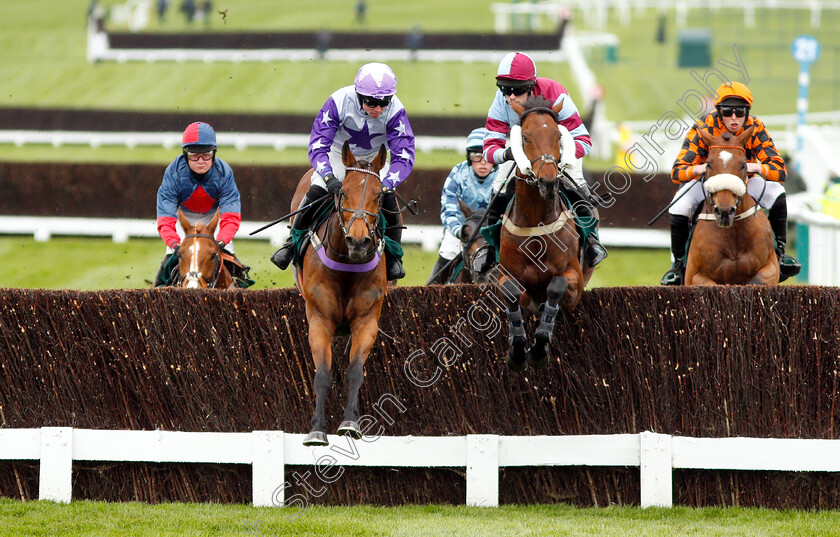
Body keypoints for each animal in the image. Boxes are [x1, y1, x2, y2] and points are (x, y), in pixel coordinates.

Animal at [290, 140, 388, 446]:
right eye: (343, 191)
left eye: (379, 196)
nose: (358, 241)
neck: (348, 266)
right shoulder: (320, 319)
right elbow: (322, 374)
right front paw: (316, 429)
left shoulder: (366, 321)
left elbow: (355, 371)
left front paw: (350, 423)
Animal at [498, 96, 596, 370]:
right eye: (525, 137)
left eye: (557, 135)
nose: (548, 182)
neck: (536, 223)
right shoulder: (505, 275)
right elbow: (511, 292)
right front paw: (517, 351)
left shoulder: (575, 282)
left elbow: (556, 286)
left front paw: (540, 348)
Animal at [684, 127, 780, 284]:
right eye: (708, 164)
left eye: (743, 164)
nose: (724, 212)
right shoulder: (693, 276)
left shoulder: (771, 268)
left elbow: (756, 281)